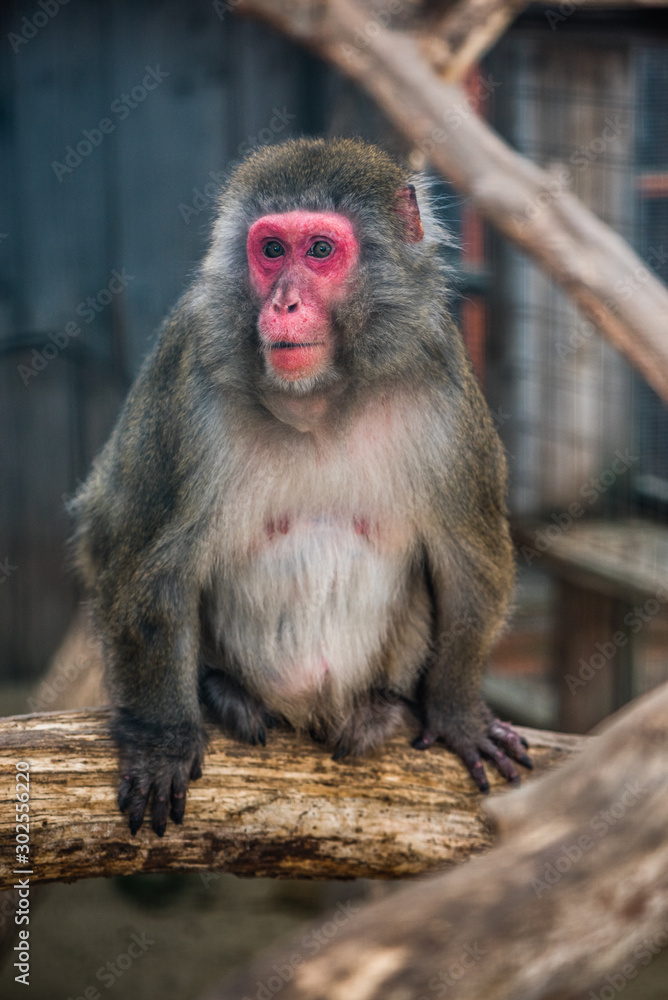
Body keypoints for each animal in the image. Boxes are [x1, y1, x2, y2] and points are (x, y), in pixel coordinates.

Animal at [72, 137, 531, 837]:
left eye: (318, 250)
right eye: (270, 250)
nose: (283, 304)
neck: (318, 402)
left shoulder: (442, 387)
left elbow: (470, 563)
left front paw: (459, 712)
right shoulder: (185, 375)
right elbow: (140, 559)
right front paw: (160, 739)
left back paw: (378, 707)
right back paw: (225, 693)